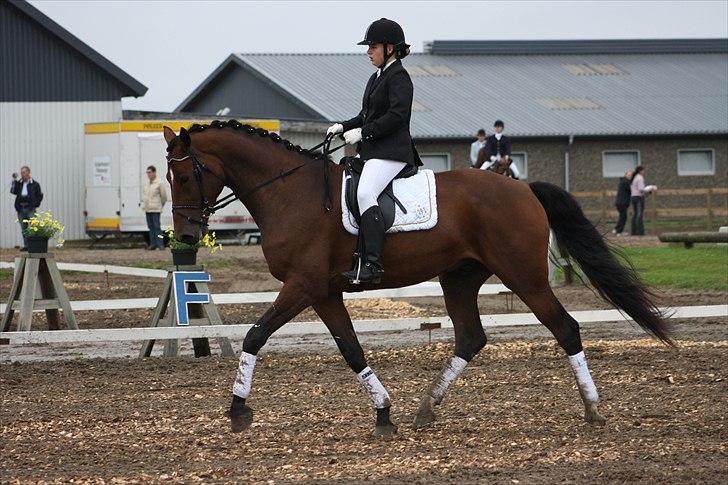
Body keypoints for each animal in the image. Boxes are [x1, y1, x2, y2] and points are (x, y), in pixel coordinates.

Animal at [161, 120, 672, 434]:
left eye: (184, 177)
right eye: (168, 179)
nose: (183, 236)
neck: (291, 193)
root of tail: (523, 187)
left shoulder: (302, 286)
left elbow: (254, 335)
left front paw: (237, 410)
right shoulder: (324, 292)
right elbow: (351, 350)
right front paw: (384, 413)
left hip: (525, 277)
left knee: (565, 328)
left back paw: (592, 409)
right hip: (460, 278)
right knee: (471, 337)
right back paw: (426, 407)